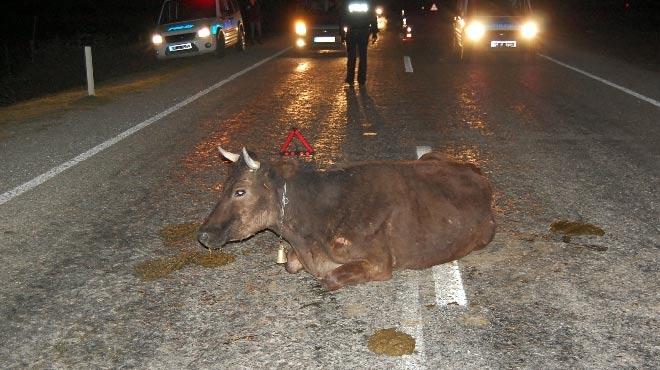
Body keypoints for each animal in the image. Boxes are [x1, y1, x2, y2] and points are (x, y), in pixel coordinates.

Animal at [197, 147, 496, 290]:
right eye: (224, 186)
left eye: (240, 191)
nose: (203, 234)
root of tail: (478, 172)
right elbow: (290, 264)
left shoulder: (379, 262)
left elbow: (328, 279)